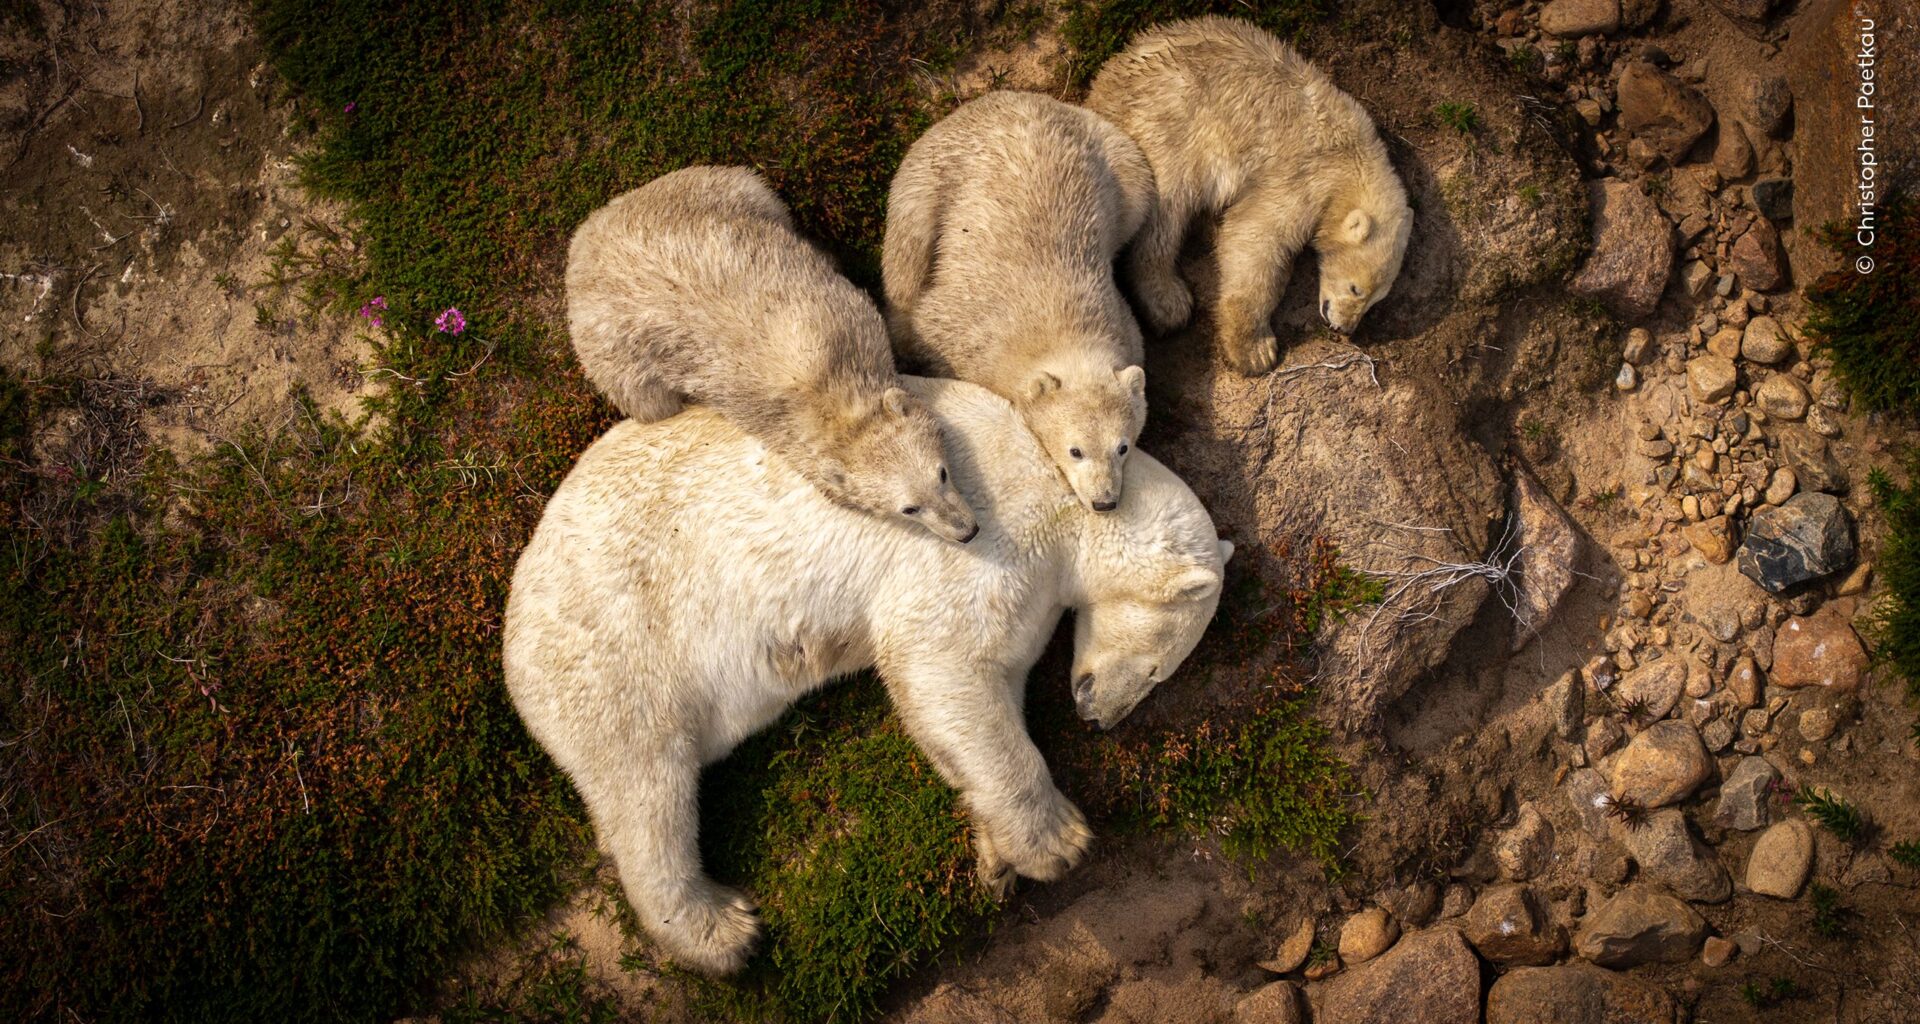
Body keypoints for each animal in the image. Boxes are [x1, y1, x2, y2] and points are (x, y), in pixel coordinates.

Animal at [503, 376, 1230, 975]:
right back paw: (720, 929)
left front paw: (995, 858)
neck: (1064, 486)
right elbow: (941, 661)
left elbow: (973, 704)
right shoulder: (990, 533)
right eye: (1160, 669)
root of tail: (513, 621)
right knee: (646, 787)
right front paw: (1056, 843)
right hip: (619, 646)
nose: (1101, 718)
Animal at [566, 164, 978, 543]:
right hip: (610, 351)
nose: (967, 532)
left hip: (703, 192)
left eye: (941, 474)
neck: (827, 390)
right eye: (909, 508)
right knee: (648, 401)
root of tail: (583, 239)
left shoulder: (848, 313)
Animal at [882, 91, 1155, 513]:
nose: (1104, 502)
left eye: (1123, 447)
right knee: (906, 256)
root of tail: (1016, 96)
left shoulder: (1125, 323)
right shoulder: (963, 328)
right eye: (1076, 450)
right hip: (931, 174)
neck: (1061, 320)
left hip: (1119, 162)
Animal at [1086, 16, 1414, 375]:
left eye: (1375, 300)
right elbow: (1253, 237)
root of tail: (1102, 89)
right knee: (1165, 212)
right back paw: (1169, 301)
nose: (1343, 327)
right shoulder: (1302, 176)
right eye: (1356, 288)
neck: (1351, 157)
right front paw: (1255, 350)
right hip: (1166, 126)